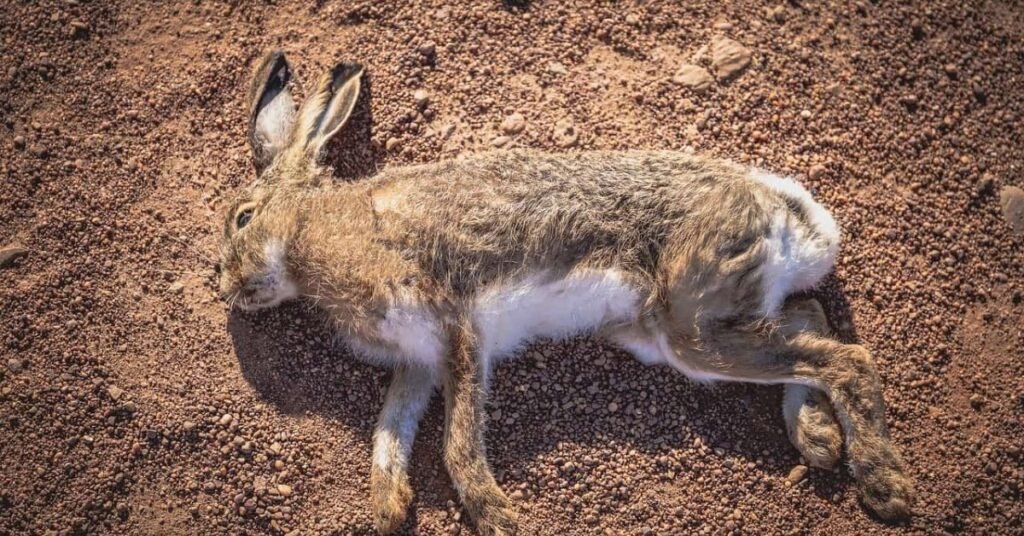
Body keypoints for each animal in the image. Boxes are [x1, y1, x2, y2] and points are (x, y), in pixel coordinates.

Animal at [218, 51, 913, 535]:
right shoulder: (416, 360)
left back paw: (885, 487)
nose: (226, 286)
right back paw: (817, 435)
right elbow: (390, 430)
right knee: (809, 315)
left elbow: (456, 441)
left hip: (692, 323)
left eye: (243, 218)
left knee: (847, 359)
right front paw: (389, 507)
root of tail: (789, 210)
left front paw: (497, 515)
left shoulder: (455, 325)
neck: (311, 231)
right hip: (674, 331)